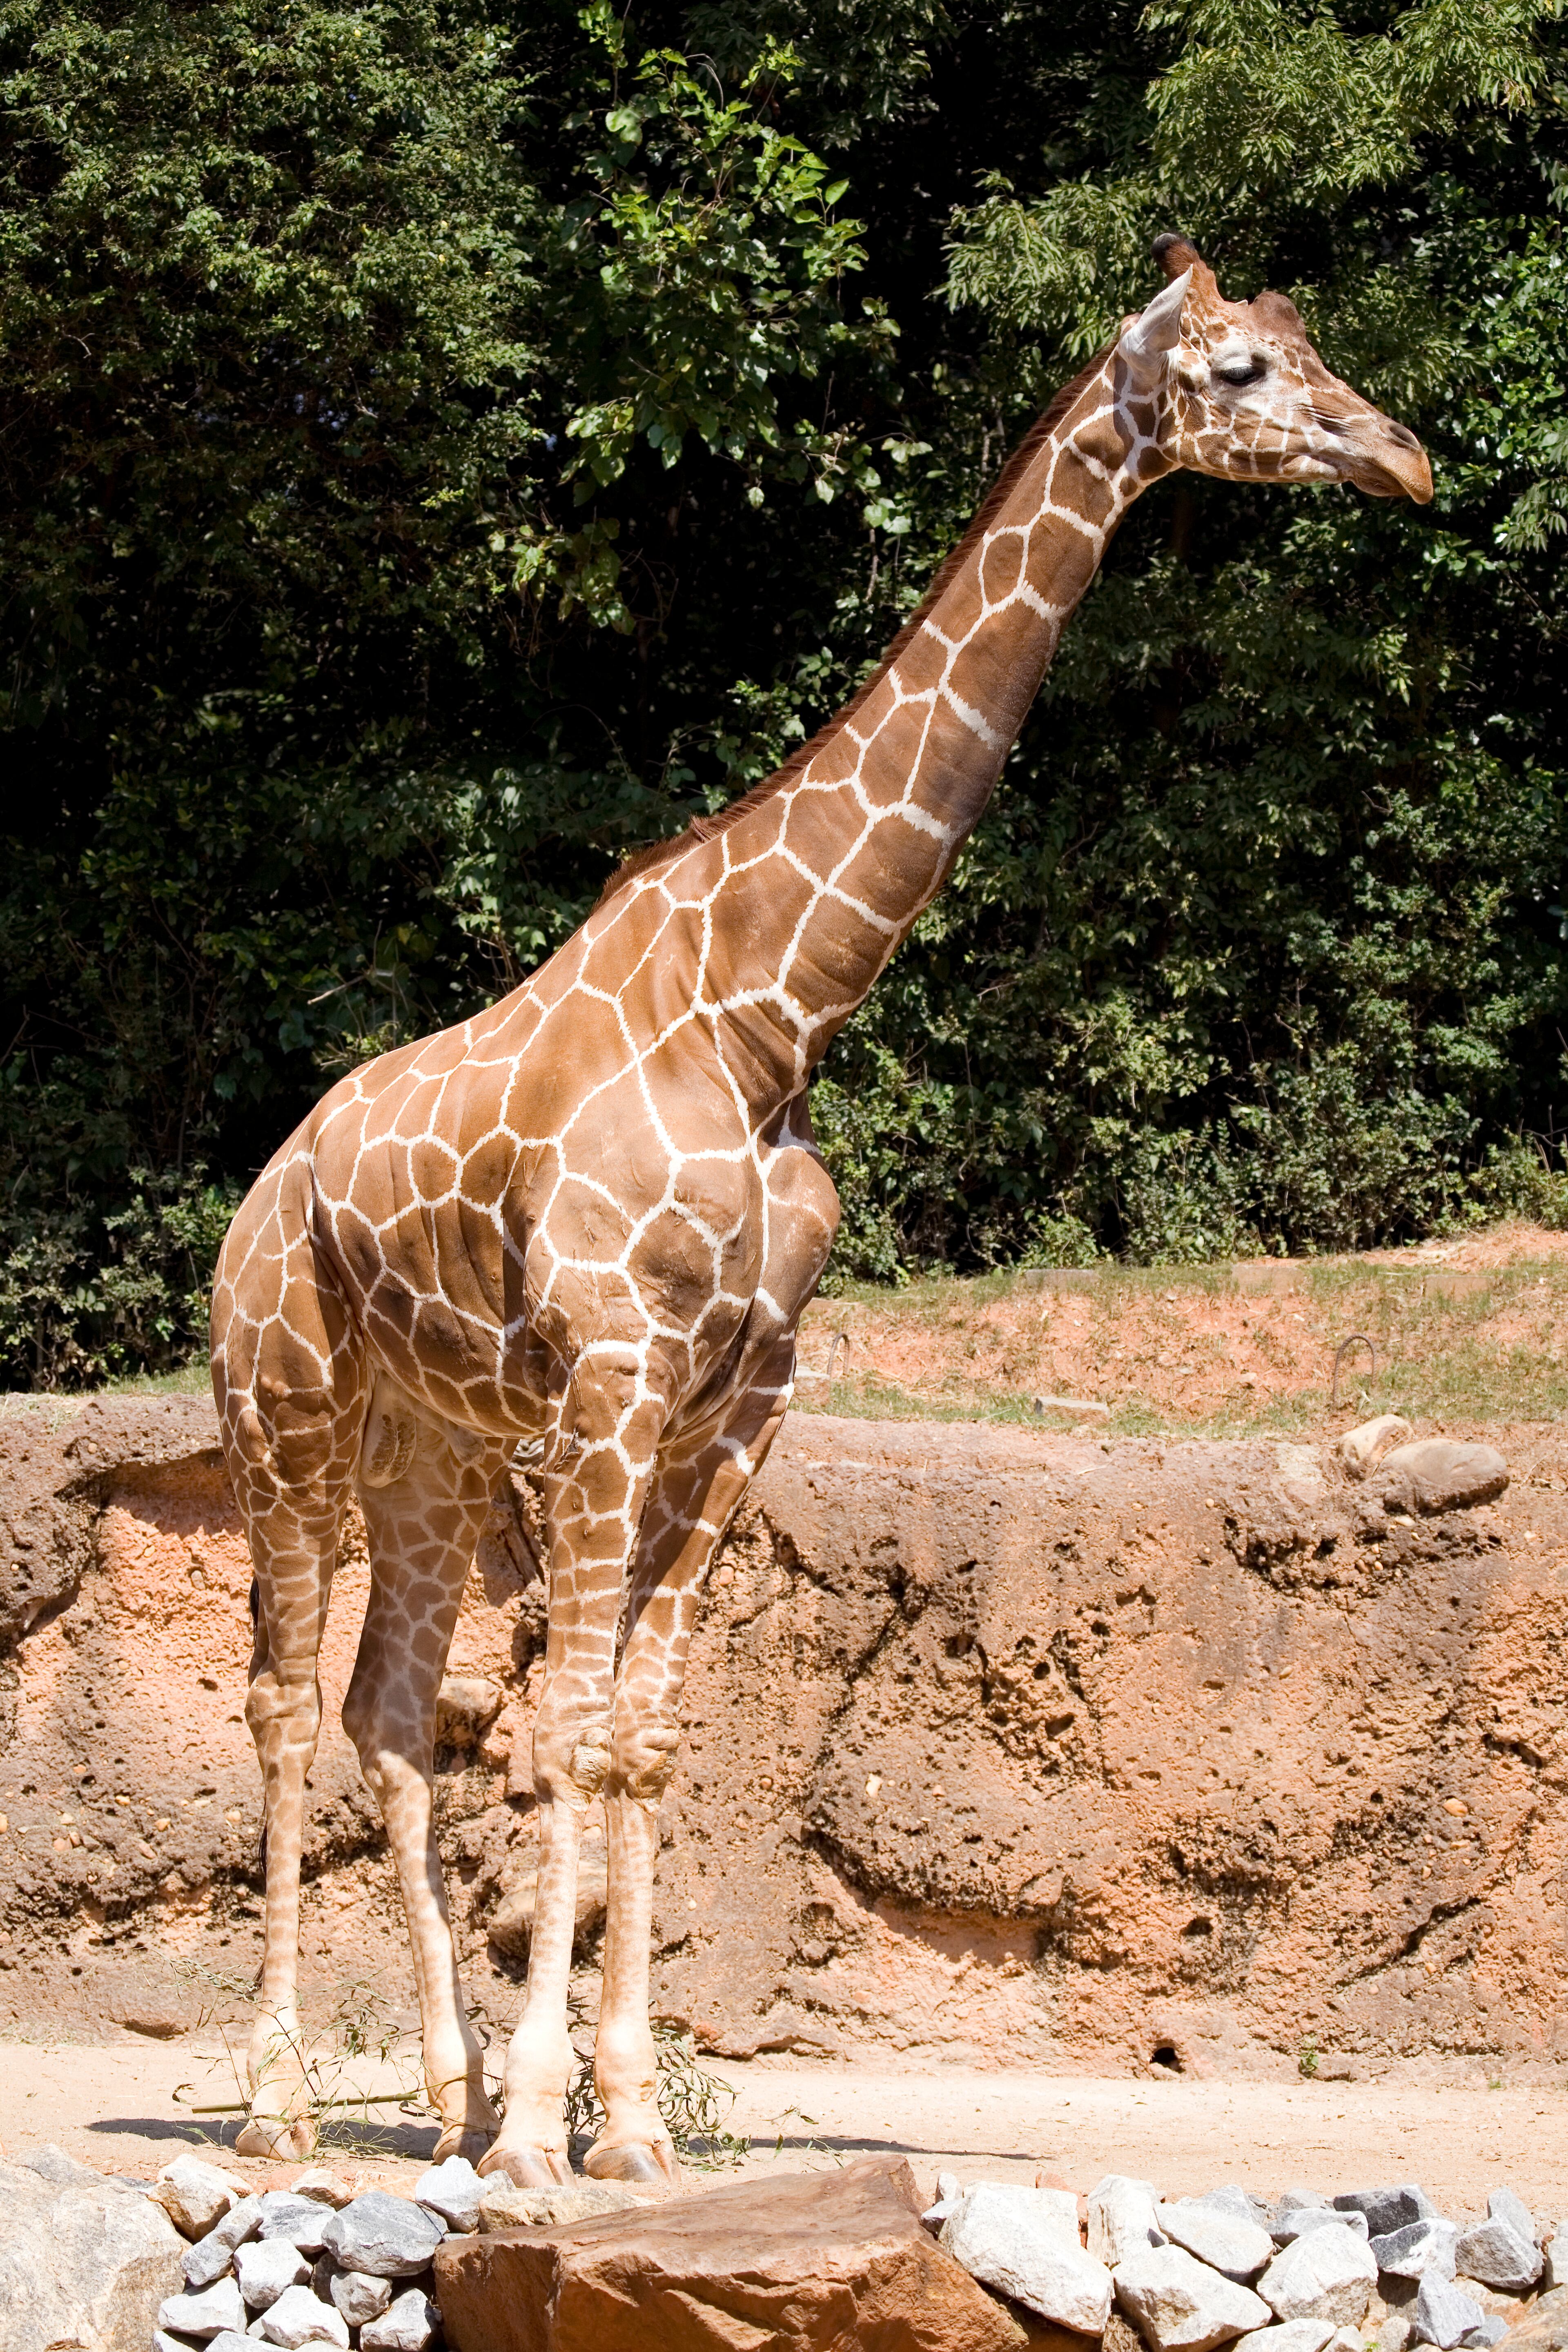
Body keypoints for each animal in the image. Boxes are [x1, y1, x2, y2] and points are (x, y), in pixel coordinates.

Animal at [210, 235, 1431, 2183]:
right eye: (1241, 368)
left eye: (1310, 344)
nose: (1407, 460)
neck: (771, 1009)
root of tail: (264, 1188)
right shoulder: (617, 1376)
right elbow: (567, 1723)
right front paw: (551, 2134)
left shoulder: (742, 1391)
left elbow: (639, 1733)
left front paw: (617, 2125)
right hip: (288, 1419)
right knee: (272, 1706)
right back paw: (278, 2106)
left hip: (434, 1447)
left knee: (387, 1713)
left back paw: (441, 2099)